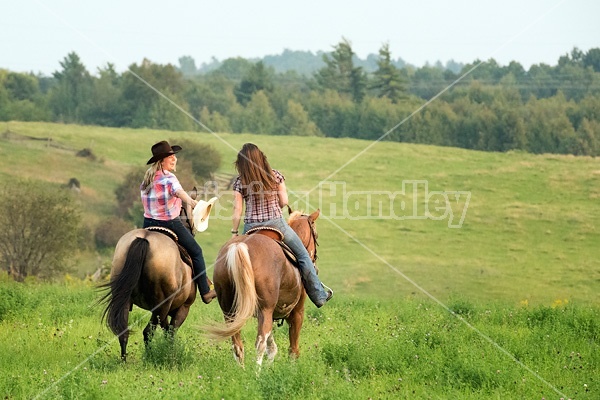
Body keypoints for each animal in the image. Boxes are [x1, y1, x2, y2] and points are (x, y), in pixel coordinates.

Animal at [206, 209, 322, 366]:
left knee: (237, 344)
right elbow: (293, 345)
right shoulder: (297, 311)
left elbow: (271, 346)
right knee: (260, 342)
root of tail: (239, 246)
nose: (314, 260)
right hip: (265, 309)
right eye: (316, 235)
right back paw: (256, 371)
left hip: (229, 311)